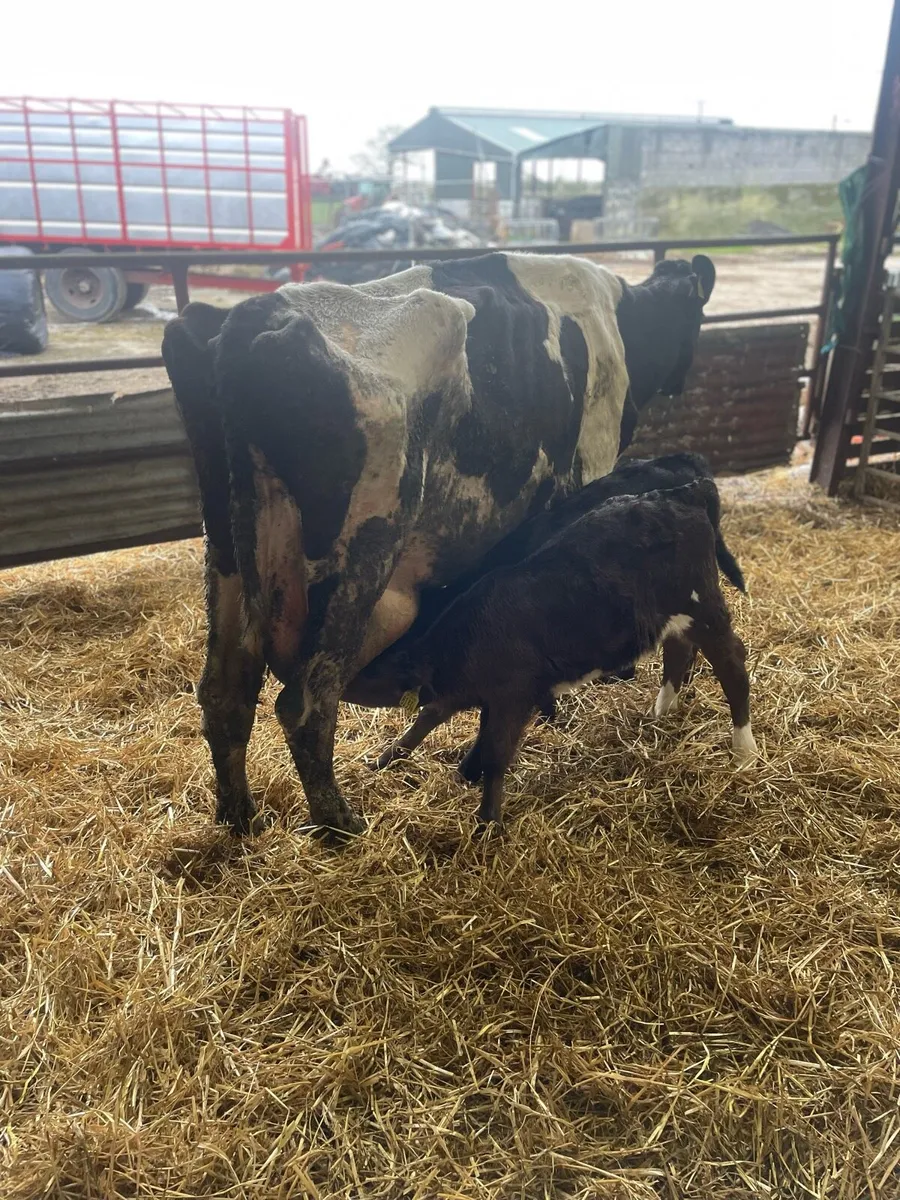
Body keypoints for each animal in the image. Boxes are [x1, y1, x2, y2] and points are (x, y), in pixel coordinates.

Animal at [161, 251, 715, 836]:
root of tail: (251, 320)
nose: (682, 378)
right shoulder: (585, 470)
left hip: (225, 557)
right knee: (305, 704)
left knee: (224, 692)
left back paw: (238, 817)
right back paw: (340, 824)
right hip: (364, 556)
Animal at [370, 479, 757, 826]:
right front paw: (385, 761)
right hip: (675, 617)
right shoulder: (471, 691)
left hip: (703, 606)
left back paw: (744, 752)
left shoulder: (512, 695)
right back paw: (662, 712)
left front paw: (487, 821)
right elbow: (430, 717)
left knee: (733, 665)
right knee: (678, 650)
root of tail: (681, 492)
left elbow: (495, 751)